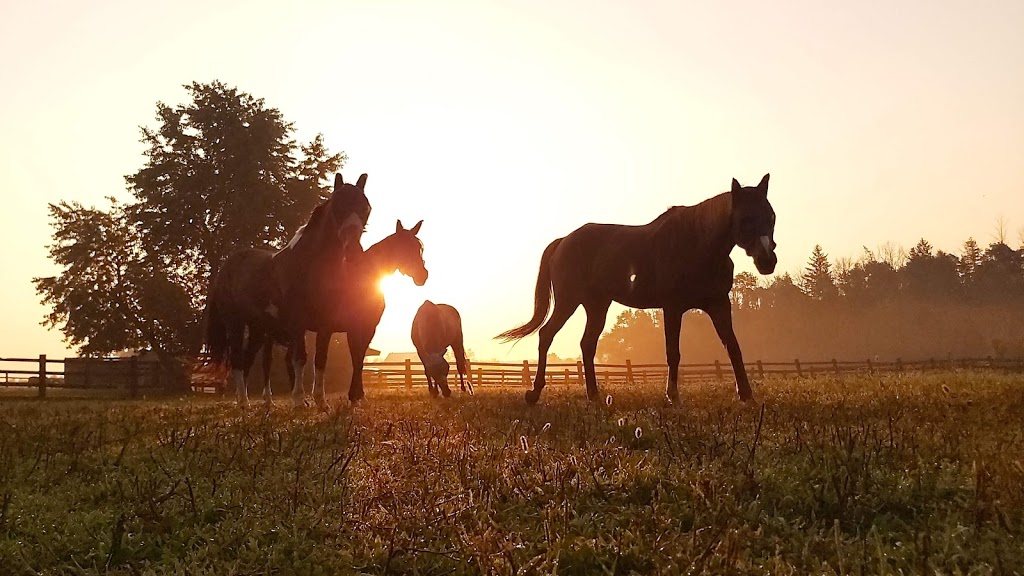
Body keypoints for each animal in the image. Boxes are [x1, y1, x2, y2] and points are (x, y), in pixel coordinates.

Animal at [203, 170, 372, 403]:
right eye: (338, 206)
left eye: (365, 208)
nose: (353, 250)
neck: (309, 264)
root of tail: (227, 267)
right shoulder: (298, 322)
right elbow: (299, 358)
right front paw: (299, 400)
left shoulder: (326, 324)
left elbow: (320, 359)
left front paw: (321, 402)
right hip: (235, 323)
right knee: (237, 359)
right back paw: (244, 402)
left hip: (258, 329)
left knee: (247, 359)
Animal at [495, 175, 774, 403]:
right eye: (746, 219)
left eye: (771, 216)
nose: (768, 261)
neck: (696, 243)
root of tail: (563, 240)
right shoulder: (673, 307)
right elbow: (673, 352)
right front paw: (672, 396)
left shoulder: (719, 304)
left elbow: (733, 346)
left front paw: (746, 395)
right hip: (568, 301)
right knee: (547, 335)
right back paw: (535, 393)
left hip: (597, 305)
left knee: (587, 344)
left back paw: (594, 395)